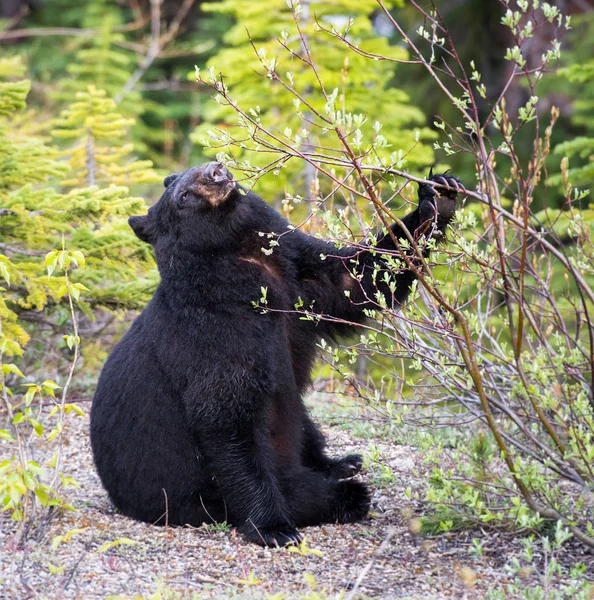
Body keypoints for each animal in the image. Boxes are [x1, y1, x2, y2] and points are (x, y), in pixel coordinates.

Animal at [90, 162, 460, 548]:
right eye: (184, 195)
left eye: (190, 171)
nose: (215, 170)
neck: (245, 259)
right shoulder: (215, 333)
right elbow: (226, 415)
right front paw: (273, 527)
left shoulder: (298, 277)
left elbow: (355, 277)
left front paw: (437, 198)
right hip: (193, 496)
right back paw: (341, 493)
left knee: (304, 421)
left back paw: (339, 462)